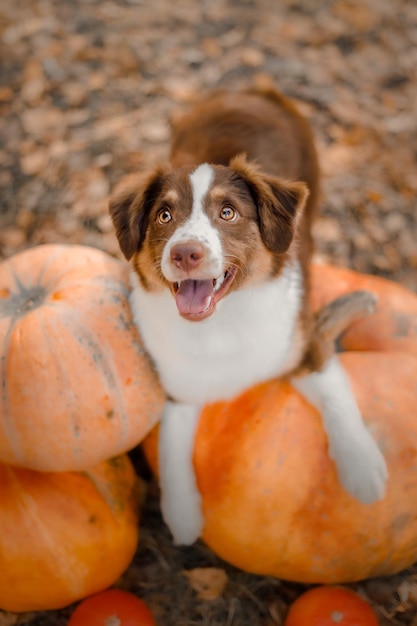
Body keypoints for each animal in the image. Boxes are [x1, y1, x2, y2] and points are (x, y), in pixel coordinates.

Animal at [108, 86, 386, 540]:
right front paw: (182, 514)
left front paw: (363, 469)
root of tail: (252, 91)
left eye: (228, 213)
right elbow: (170, 447)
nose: (185, 254)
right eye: (164, 215)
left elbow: (337, 399)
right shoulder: (178, 388)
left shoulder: (306, 346)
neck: (222, 325)